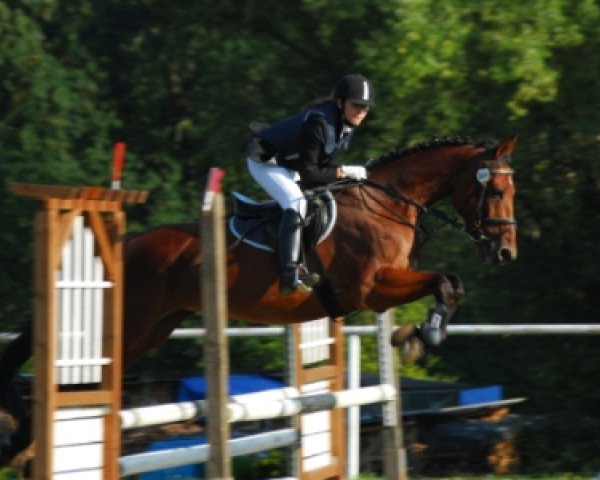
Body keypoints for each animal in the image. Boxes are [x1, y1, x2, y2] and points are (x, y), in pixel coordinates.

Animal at [0, 134, 516, 464]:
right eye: (493, 188)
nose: (505, 251)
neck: (387, 204)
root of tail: (124, 245)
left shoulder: (380, 289)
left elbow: (450, 283)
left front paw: (415, 335)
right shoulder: (369, 287)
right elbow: (446, 281)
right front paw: (422, 335)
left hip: (152, 329)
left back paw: (21, 446)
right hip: (128, 323)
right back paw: (25, 445)